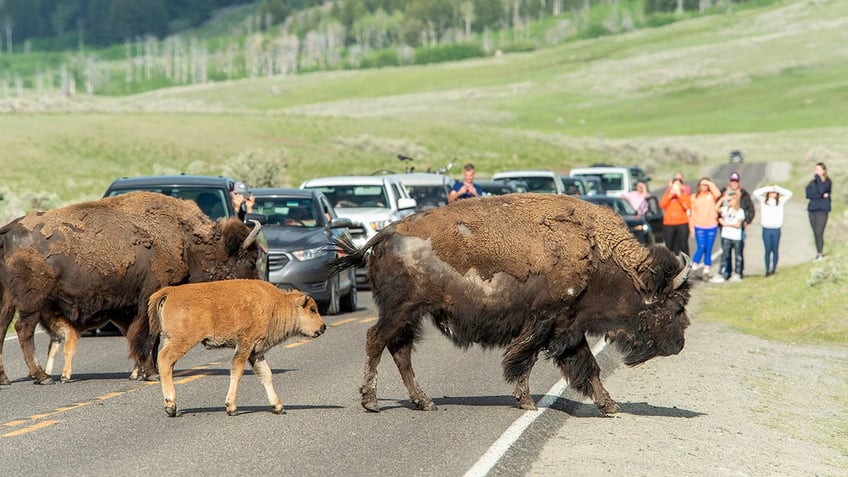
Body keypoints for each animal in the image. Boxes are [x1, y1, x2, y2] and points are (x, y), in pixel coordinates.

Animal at [0, 190, 264, 384]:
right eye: (251, 261)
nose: (257, 293)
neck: (186, 241)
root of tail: (9, 229)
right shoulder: (150, 299)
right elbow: (148, 336)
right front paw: (151, 373)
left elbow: (139, 336)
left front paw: (139, 372)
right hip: (32, 300)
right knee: (23, 329)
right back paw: (42, 376)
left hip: (9, 299)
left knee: (3, 328)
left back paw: (6, 379)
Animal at [147, 278, 324, 416]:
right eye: (312, 309)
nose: (322, 327)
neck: (274, 304)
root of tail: (171, 291)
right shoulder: (245, 345)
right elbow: (237, 371)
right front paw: (231, 407)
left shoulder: (255, 353)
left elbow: (266, 375)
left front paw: (278, 407)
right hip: (183, 341)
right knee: (165, 360)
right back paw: (171, 406)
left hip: (170, 339)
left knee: (167, 364)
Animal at [328, 193, 692, 412]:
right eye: (675, 306)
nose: (680, 343)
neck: (597, 254)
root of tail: (385, 233)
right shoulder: (544, 322)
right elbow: (523, 361)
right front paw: (527, 402)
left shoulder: (568, 326)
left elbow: (587, 365)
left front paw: (608, 404)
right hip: (400, 309)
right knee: (376, 340)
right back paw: (371, 401)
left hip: (411, 315)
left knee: (400, 351)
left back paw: (424, 401)